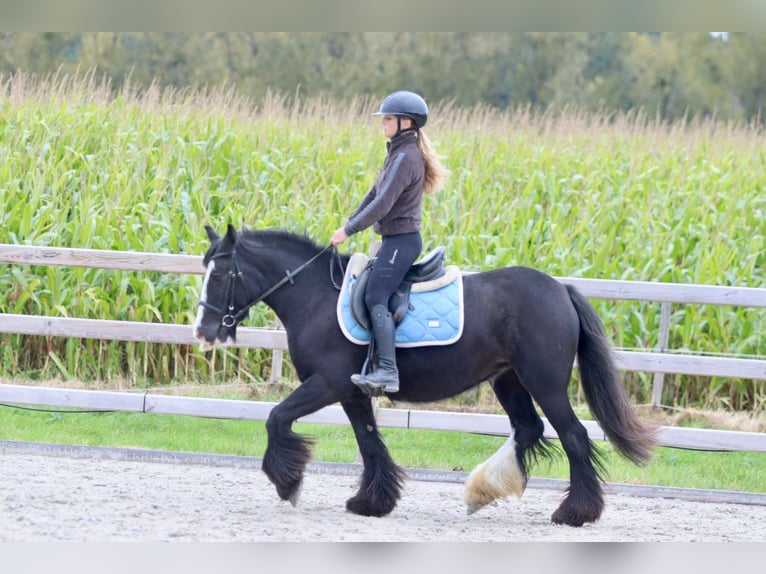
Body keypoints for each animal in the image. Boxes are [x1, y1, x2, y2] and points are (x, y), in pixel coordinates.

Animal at [195, 224, 656, 528]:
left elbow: (277, 418)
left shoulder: (328, 384)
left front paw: (287, 483)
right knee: (529, 428)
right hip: (508, 380)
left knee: (573, 435)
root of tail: (561, 289)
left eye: (220, 275)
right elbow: (369, 443)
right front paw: (372, 502)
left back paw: (574, 513)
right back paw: (481, 492)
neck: (315, 298)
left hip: (543, 382)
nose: (203, 331)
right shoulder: (352, 392)